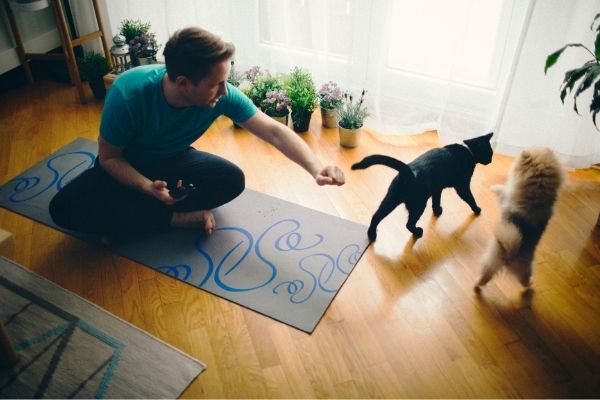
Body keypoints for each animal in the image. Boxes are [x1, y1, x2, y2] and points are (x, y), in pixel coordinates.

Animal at [352, 134, 492, 241]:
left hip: (390, 200)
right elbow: (470, 198)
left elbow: (436, 200)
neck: (468, 150)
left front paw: (437, 210)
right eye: (490, 153)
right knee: (409, 224)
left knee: (376, 215)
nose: (491, 160)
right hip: (419, 204)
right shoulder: (462, 186)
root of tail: (408, 172)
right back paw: (418, 232)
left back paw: (372, 234)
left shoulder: (437, 188)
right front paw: (477, 209)